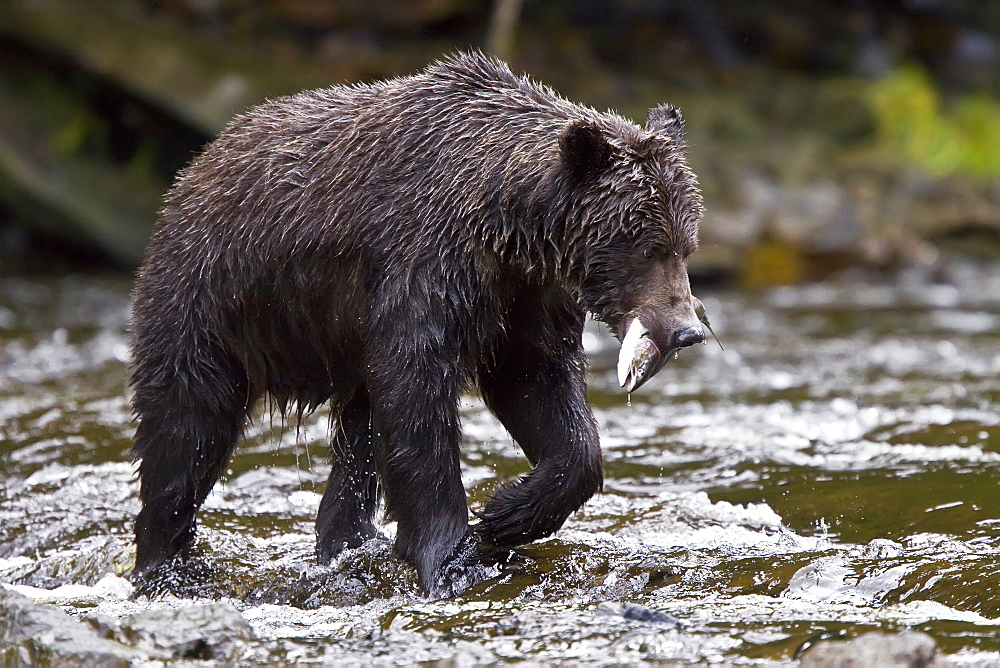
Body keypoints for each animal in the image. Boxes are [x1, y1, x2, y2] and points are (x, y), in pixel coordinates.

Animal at [129, 51, 708, 596]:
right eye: (649, 247)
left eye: (686, 244)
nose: (686, 330)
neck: (505, 223)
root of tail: (195, 167)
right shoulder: (425, 264)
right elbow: (417, 393)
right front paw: (452, 557)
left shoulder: (523, 298)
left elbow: (540, 389)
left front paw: (506, 514)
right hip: (214, 300)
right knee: (186, 426)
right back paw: (165, 563)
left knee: (356, 438)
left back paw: (345, 541)